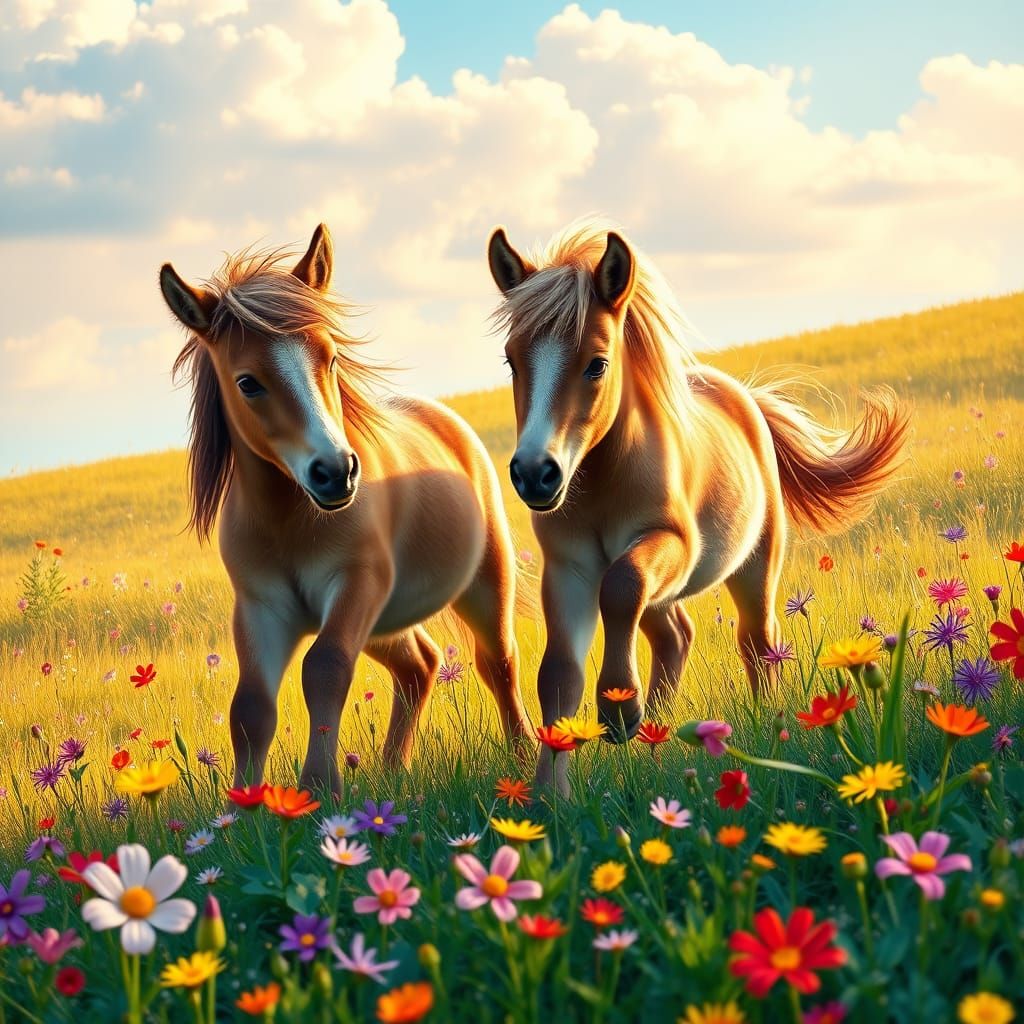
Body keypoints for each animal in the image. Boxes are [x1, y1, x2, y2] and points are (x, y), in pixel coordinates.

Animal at [160, 224, 529, 796]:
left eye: (330, 358)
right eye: (247, 382)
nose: (335, 472)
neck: (290, 523)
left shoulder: (356, 583)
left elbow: (325, 668)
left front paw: (318, 788)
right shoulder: (261, 607)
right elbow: (250, 707)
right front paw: (244, 804)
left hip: (482, 585)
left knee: (498, 662)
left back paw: (526, 755)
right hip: (385, 623)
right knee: (419, 665)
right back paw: (393, 767)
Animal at [487, 217, 911, 793]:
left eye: (597, 363)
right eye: (512, 360)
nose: (534, 473)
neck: (601, 484)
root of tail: (747, 398)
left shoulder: (671, 544)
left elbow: (621, 587)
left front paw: (618, 709)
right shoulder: (568, 570)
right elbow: (558, 674)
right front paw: (549, 797)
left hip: (754, 564)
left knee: (758, 641)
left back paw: (763, 724)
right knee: (675, 636)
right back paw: (657, 729)